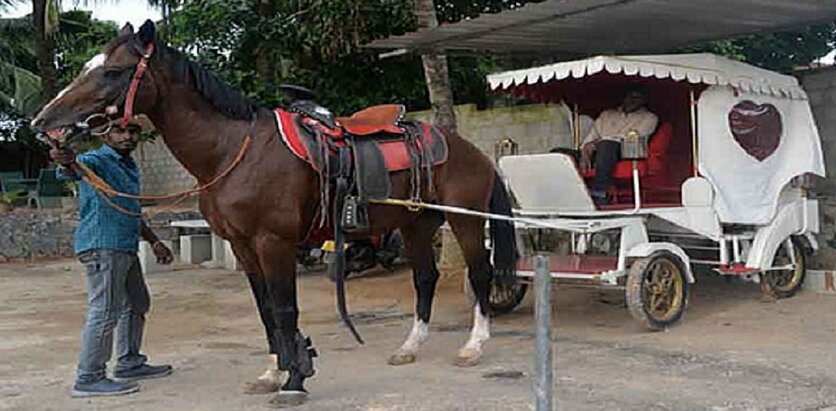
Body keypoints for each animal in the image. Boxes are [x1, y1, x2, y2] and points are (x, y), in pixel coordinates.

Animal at [31, 20, 516, 408]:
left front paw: (296, 380)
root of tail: (465, 147)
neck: (232, 151)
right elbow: (266, 311)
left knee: (479, 273)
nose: (42, 123)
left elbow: (285, 310)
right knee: (425, 278)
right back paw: (410, 346)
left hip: (465, 219)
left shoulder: (273, 243)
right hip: (417, 223)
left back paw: (473, 346)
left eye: (112, 72)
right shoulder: (244, 247)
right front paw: (273, 371)